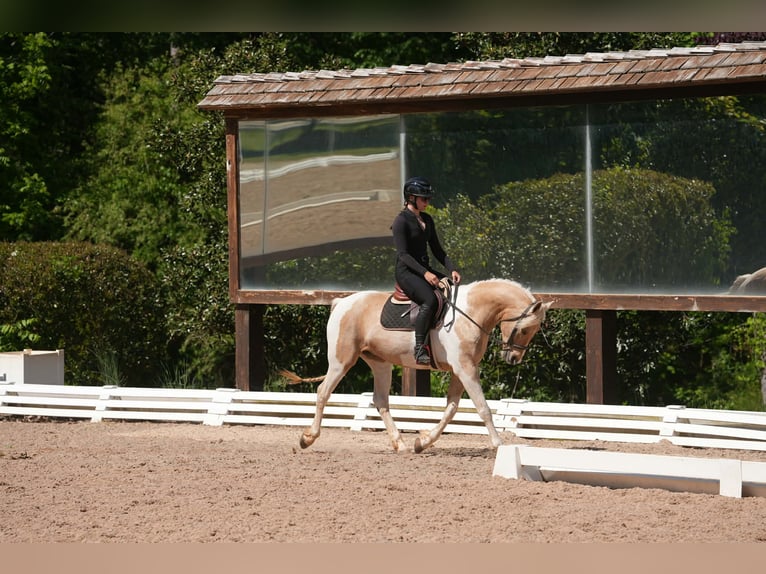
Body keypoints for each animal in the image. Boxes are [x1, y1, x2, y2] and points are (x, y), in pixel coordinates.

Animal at [283, 278, 551, 453]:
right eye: (525, 329)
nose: (513, 358)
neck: (471, 313)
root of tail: (341, 303)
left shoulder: (460, 370)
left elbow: (451, 409)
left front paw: (422, 442)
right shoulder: (465, 369)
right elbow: (482, 408)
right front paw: (498, 444)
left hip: (380, 363)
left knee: (381, 400)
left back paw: (400, 444)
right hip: (341, 361)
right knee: (323, 392)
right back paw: (308, 438)